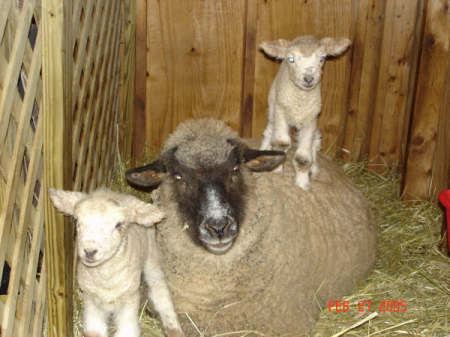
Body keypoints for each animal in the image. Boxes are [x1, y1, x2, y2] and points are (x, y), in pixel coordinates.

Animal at [48, 188, 184, 336]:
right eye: (77, 219)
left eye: (118, 225)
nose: (89, 251)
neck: (106, 278)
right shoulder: (91, 301)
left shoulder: (129, 300)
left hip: (151, 252)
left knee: (158, 286)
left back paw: (172, 326)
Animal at [260, 36, 352, 192]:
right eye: (291, 59)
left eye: (322, 58)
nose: (309, 79)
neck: (300, 101)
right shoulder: (281, 112)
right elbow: (281, 143)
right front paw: (276, 171)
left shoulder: (311, 119)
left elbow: (303, 158)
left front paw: (302, 184)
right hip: (273, 107)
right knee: (269, 131)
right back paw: (264, 150)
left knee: (316, 141)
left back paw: (314, 169)